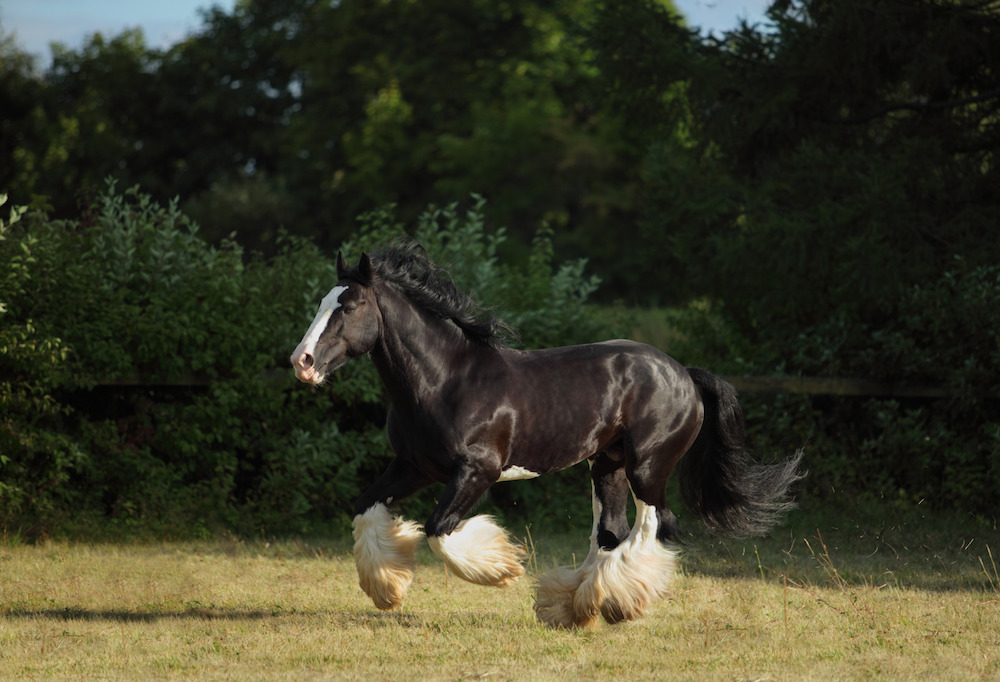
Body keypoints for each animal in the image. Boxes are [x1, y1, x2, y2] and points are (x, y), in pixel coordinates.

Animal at [290, 240, 804, 628]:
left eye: (349, 306)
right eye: (320, 303)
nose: (302, 362)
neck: (445, 380)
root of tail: (684, 374)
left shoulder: (477, 471)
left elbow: (439, 530)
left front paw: (502, 569)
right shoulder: (414, 467)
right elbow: (366, 508)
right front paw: (387, 591)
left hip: (648, 467)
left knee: (654, 525)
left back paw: (616, 604)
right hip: (607, 466)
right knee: (610, 532)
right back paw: (577, 606)